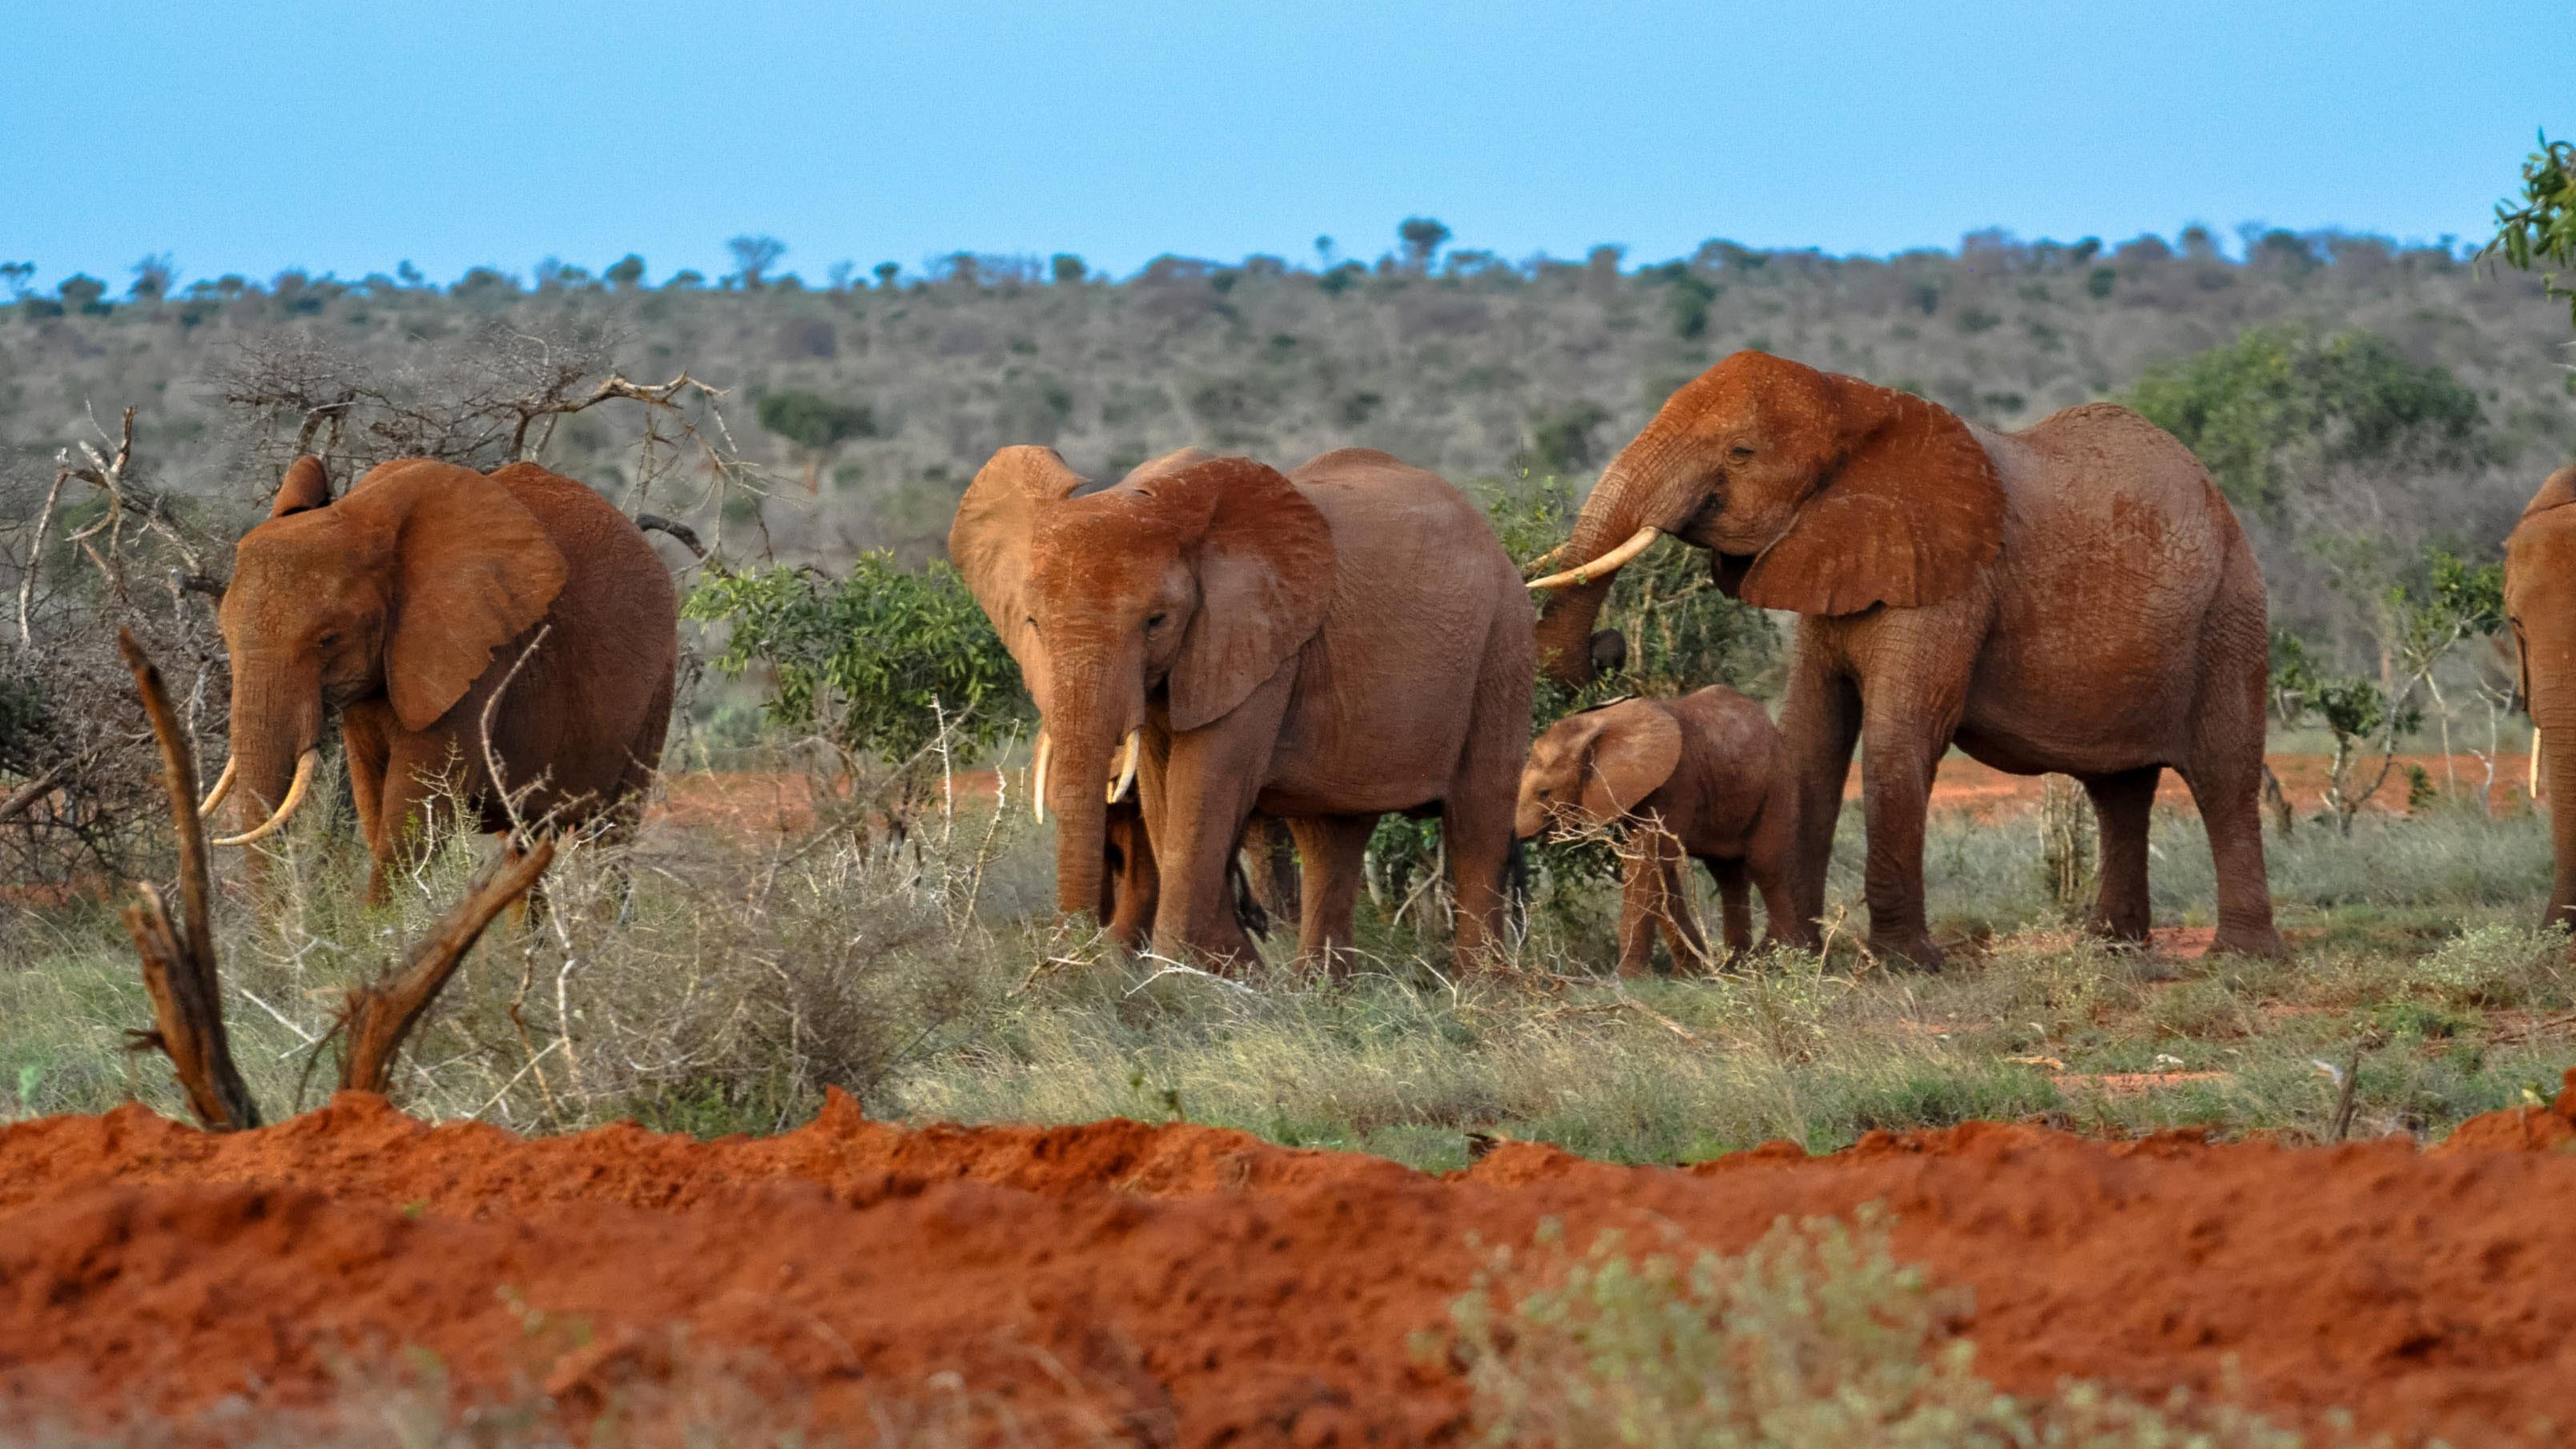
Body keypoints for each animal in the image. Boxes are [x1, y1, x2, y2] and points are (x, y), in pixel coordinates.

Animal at [210, 451, 680, 892]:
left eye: (328, 639)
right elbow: (374, 805)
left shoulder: (475, 658)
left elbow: (416, 820)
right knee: (526, 845)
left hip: (659, 683)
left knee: (611, 838)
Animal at [958, 441, 1535, 959]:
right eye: (1032, 622)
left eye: (1157, 621)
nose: (1067, 958)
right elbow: (1164, 791)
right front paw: (1230, 968)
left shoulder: (1260, 645)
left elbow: (1206, 782)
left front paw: (1187, 977)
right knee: (1332, 836)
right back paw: (1321, 991)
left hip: (1503, 640)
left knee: (1478, 819)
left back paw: (1480, 987)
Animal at [1504, 686, 1813, 969]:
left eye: (1544, 793)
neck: (1598, 724)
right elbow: (1657, 869)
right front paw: (1693, 972)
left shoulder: (1674, 784)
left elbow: (1647, 864)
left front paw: (1627, 979)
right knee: (1728, 874)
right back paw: (1737, 964)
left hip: (1778, 782)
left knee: (1765, 864)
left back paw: (1777, 957)